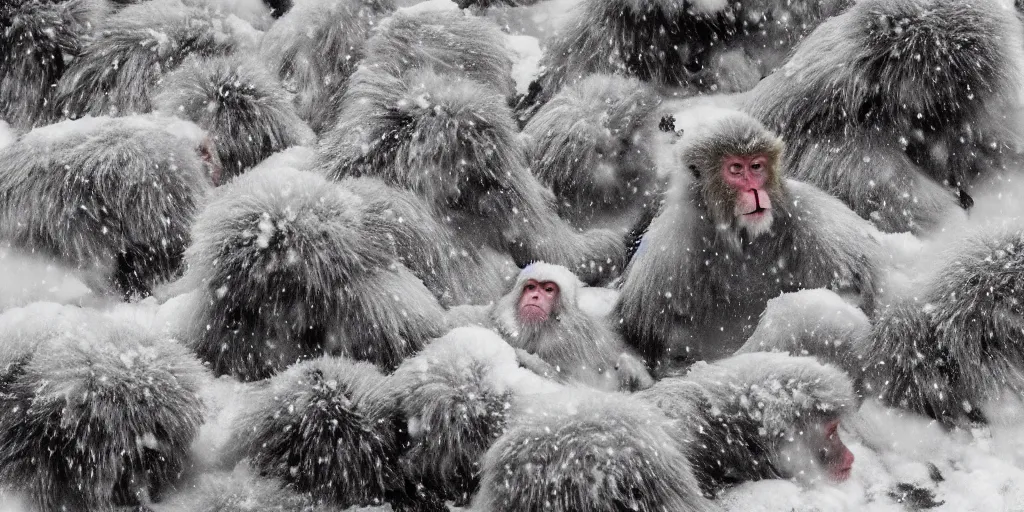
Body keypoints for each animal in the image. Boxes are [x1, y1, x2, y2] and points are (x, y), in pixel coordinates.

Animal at [452, 264, 651, 391]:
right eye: (531, 287)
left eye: (548, 290)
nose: (534, 297)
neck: (543, 328)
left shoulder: (564, 342)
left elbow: (574, 381)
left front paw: (527, 359)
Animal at [618, 109, 884, 372]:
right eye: (736, 169)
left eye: (756, 166)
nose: (754, 190)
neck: (743, 236)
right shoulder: (672, 241)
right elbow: (644, 334)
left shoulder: (810, 214)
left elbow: (850, 291)